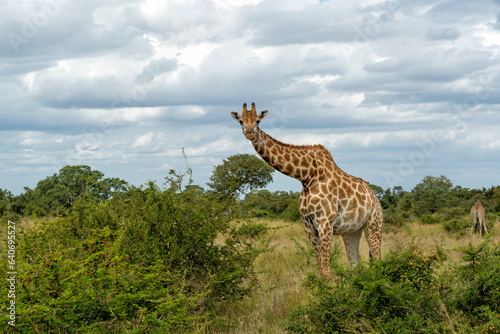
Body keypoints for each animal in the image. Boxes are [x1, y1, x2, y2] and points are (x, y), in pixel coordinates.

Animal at [230, 103, 382, 280]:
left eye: (258, 121)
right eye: (241, 121)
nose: (250, 133)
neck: (307, 177)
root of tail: (374, 196)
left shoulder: (325, 223)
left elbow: (326, 270)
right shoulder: (308, 225)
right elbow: (321, 268)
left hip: (374, 224)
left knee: (377, 260)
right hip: (352, 231)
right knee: (355, 264)